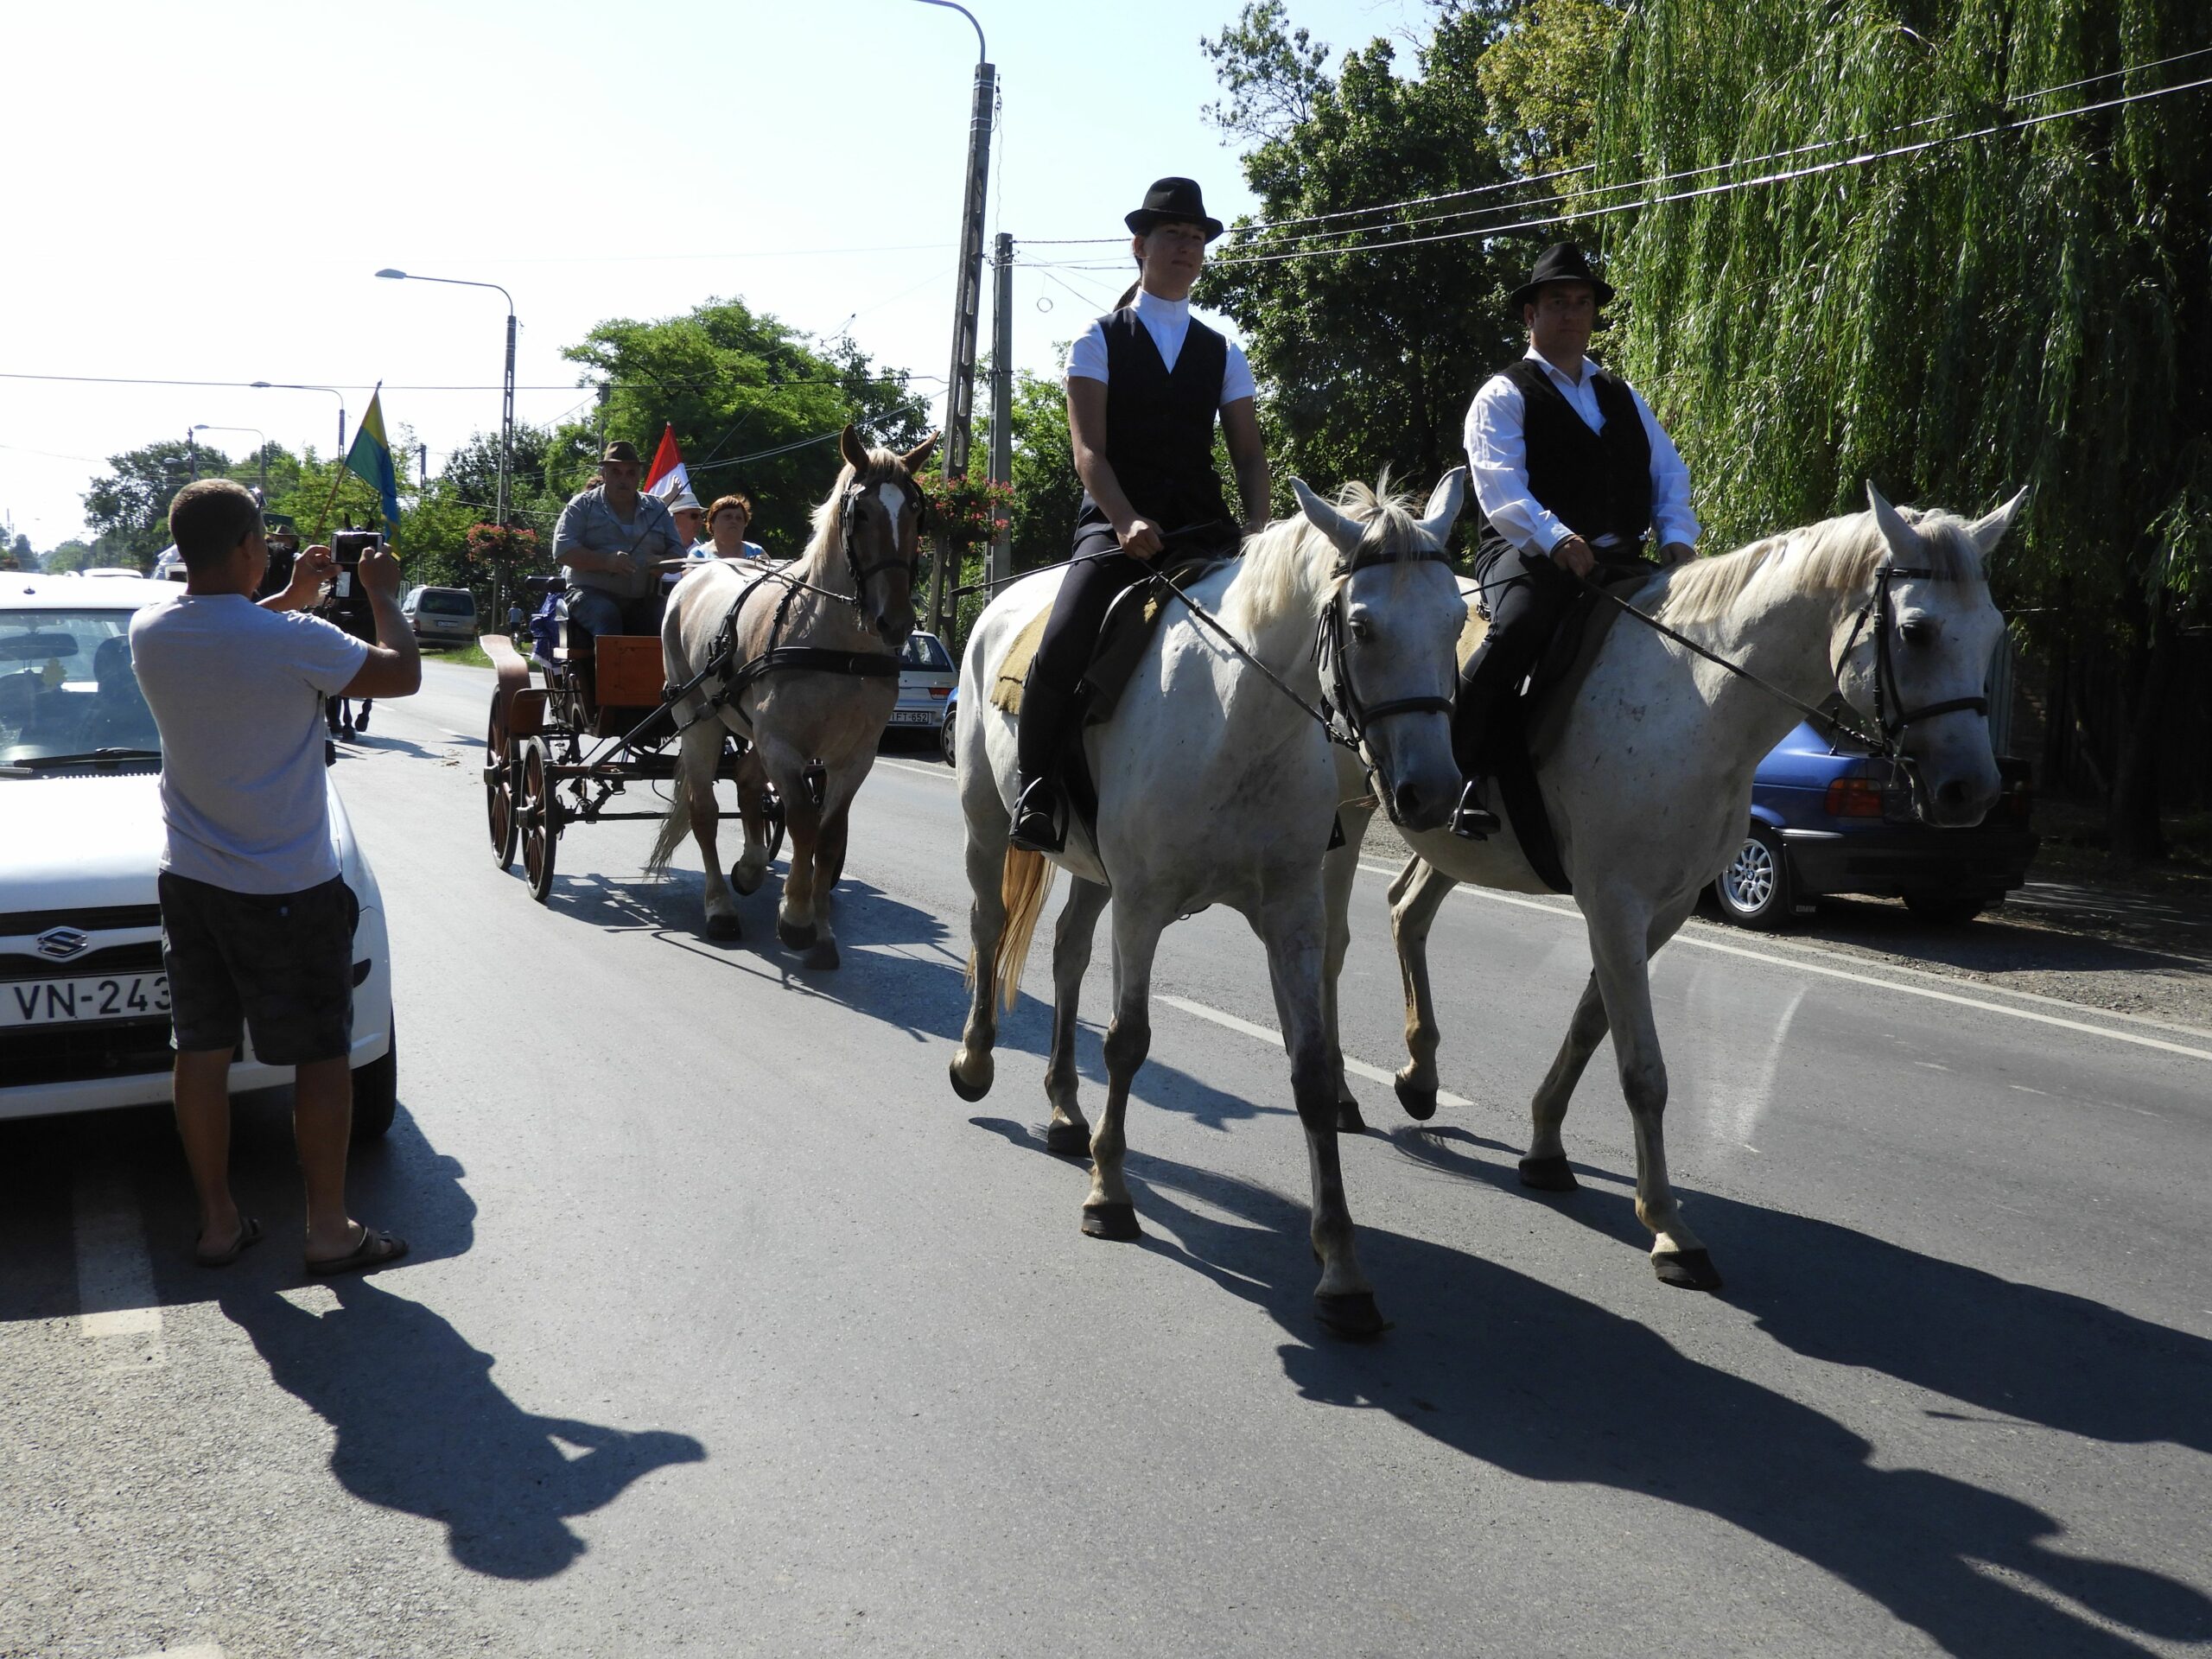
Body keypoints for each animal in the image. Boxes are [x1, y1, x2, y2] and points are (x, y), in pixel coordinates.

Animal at [650, 424, 938, 973]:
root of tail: (697, 573)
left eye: (916, 510)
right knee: (704, 811)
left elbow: (828, 833)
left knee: (745, 785)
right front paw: (798, 919)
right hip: (698, 717)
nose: (895, 622)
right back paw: (720, 906)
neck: (837, 643)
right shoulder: (784, 746)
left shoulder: (855, 756)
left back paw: (750, 869)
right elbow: (803, 820)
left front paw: (821, 931)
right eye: (860, 513)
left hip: (750, 730)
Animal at [946, 471, 1468, 1336]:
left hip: (1093, 871)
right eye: (1362, 628)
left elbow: (1313, 1071)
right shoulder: (1144, 904)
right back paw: (976, 1061)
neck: (1238, 716)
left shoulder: (1291, 914)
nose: (1433, 792)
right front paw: (1109, 1196)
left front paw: (1342, 1266)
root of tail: (1001, 602)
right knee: (990, 930)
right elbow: (1128, 1042)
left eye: (1458, 620)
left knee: (1066, 952)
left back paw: (1064, 1111)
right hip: (988, 825)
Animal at [1344, 486, 2025, 1292]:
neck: (1695, 701)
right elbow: (1643, 1070)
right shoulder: (1614, 904)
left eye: (1993, 633)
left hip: (1448, 843)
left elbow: (1591, 1027)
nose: (1972, 792)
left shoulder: (1661, 911)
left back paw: (1421, 1075)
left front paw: (1545, 1147)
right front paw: (1669, 1227)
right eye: (1917, 631)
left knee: (1406, 912)